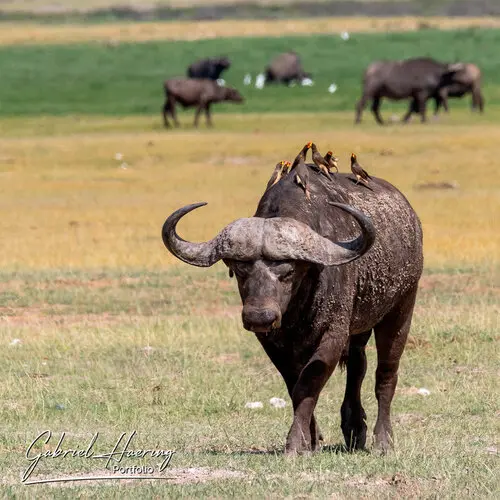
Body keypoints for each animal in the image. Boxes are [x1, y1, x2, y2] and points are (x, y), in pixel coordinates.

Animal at [163, 164, 422, 454]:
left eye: (288, 272)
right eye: (240, 270)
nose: (259, 317)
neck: (297, 306)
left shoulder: (332, 334)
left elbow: (308, 383)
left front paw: (297, 442)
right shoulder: (272, 341)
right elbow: (293, 384)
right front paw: (311, 438)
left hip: (401, 309)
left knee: (385, 376)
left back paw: (383, 440)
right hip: (360, 328)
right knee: (358, 367)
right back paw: (355, 429)